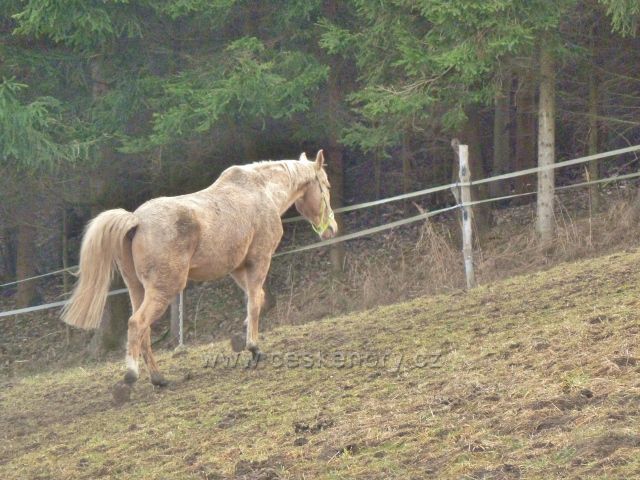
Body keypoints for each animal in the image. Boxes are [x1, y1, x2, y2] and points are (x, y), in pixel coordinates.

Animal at [62, 150, 338, 386]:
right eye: (326, 186)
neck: (262, 191)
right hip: (163, 290)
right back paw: (131, 375)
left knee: (144, 331)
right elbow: (255, 301)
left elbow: (256, 298)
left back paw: (159, 378)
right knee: (137, 324)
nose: (331, 229)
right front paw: (254, 348)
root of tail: (136, 220)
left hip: (137, 289)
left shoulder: (237, 268)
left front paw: (242, 339)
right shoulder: (259, 260)